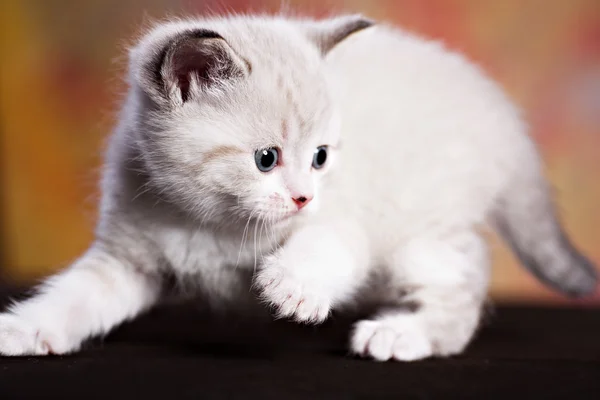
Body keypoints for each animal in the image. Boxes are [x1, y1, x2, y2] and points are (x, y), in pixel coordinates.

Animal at [0, 14, 596, 360]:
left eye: (321, 157)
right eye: (266, 159)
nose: (304, 195)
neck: (211, 225)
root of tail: (500, 115)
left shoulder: (346, 220)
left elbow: (324, 247)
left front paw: (293, 286)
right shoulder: (127, 259)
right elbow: (76, 298)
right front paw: (26, 329)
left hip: (422, 233)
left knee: (466, 276)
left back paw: (402, 335)